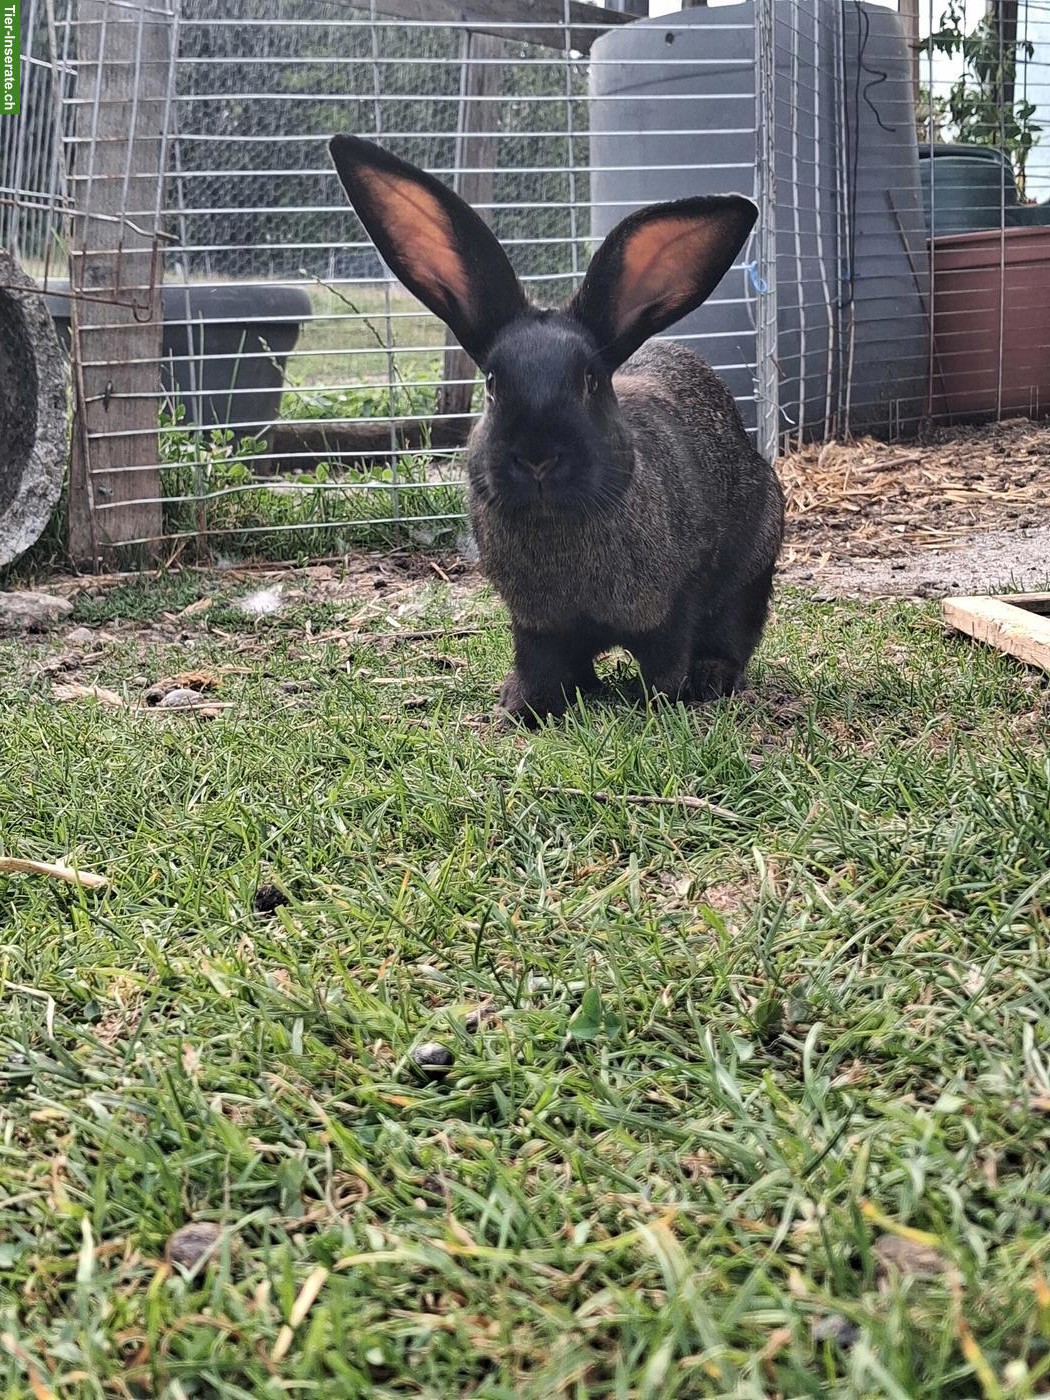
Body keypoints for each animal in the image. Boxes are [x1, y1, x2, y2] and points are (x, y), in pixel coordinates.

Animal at [328, 134, 784, 723]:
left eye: (590, 380)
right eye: (493, 383)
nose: (538, 457)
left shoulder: (672, 610)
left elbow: (666, 658)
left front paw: (659, 704)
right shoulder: (537, 627)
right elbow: (540, 666)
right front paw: (521, 709)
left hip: (753, 568)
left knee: (733, 634)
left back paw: (711, 680)